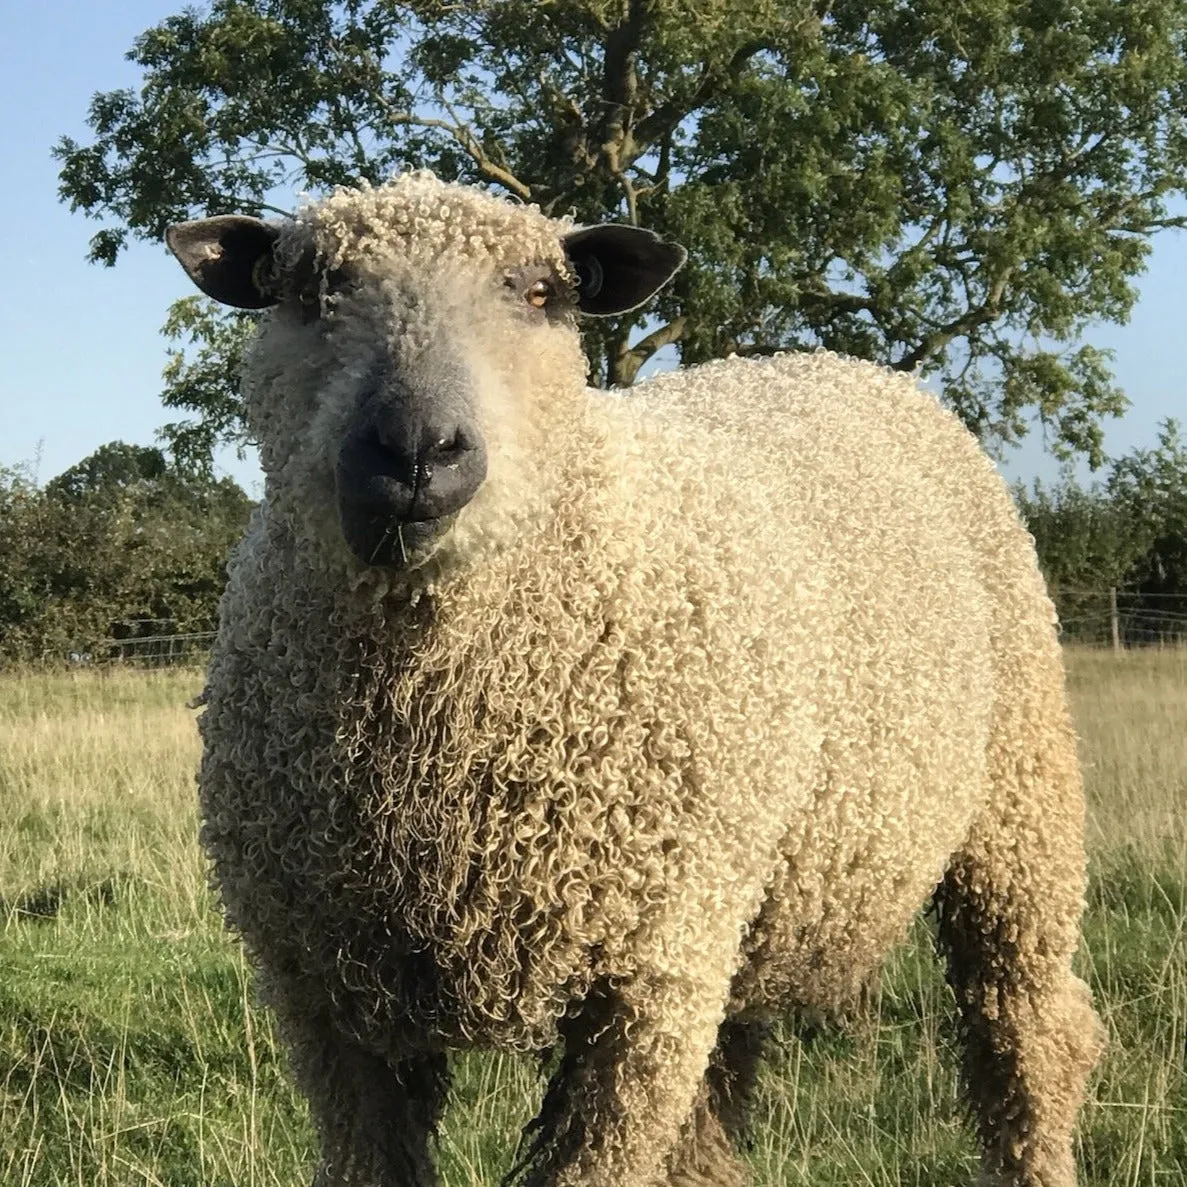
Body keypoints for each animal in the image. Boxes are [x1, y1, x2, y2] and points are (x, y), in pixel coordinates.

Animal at [164, 169, 1101, 1187]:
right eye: (310, 292)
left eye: (541, 293)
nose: (416, 449)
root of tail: (839, 364)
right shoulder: (323, 995)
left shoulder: (647, 986)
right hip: (742, 910)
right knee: (716, 1108)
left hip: (1017, 806)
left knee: (1030, 1033)